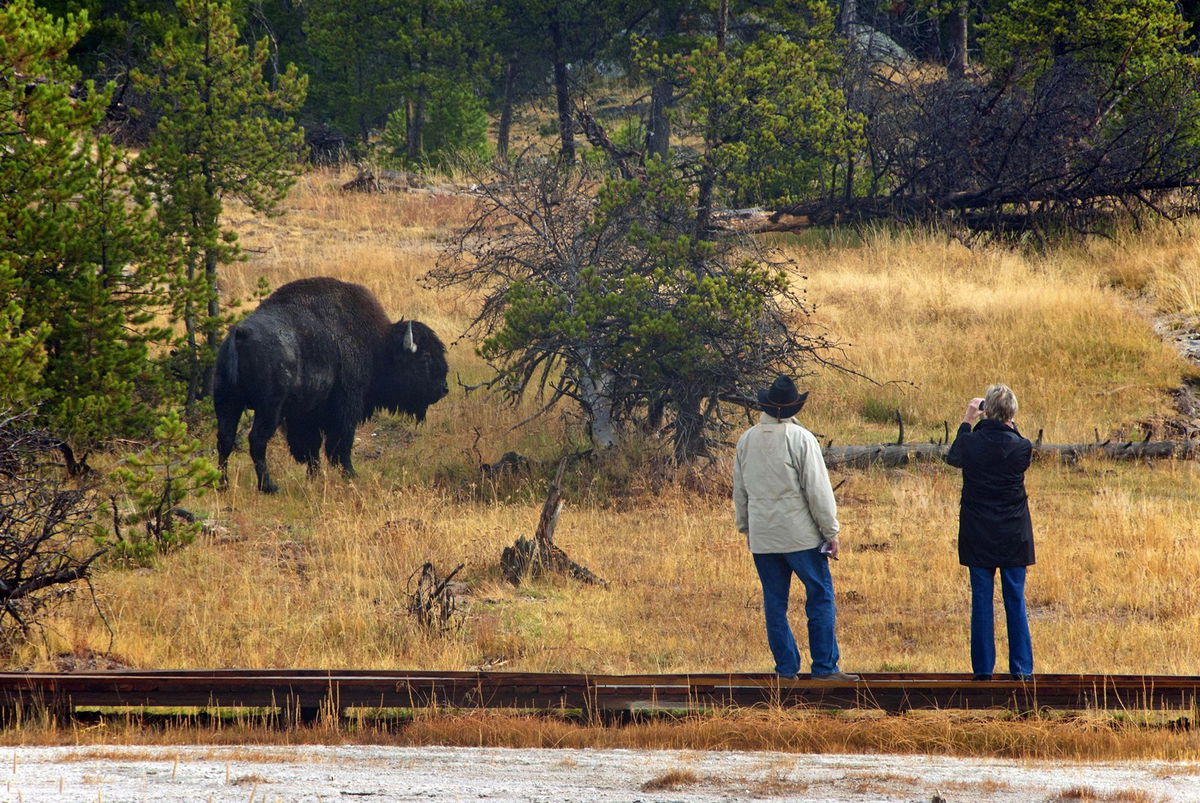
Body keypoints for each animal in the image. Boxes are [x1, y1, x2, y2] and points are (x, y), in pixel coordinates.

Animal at [214, 276, 451, 492]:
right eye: (425, 357)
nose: (443, 389)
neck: (377, 344)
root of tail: (240, 335)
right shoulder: (345, 406)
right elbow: (340, 444)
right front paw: (350, 474)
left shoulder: (305, 414)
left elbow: (311, 448)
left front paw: (315, 477)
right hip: (268, 409)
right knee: (256, 440)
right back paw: (269, 486)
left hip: (227, 402)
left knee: (225, 439)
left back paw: (222, 484)